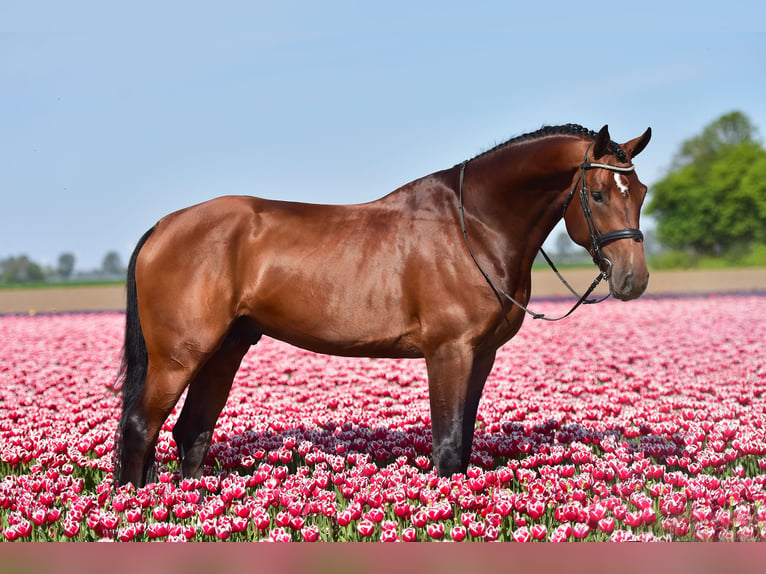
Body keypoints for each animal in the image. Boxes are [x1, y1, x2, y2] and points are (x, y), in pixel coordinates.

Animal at [115, 124, 656, 488]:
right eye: (598, 192)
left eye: (642, 192)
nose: (633, 279)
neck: (474, 228)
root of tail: (164, 226)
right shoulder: (448, 353)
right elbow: (448, 446)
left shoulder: (481, 356)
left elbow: (463, 441)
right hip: (178, 357)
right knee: (142, 428)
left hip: (225, 349)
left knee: (192, 432)